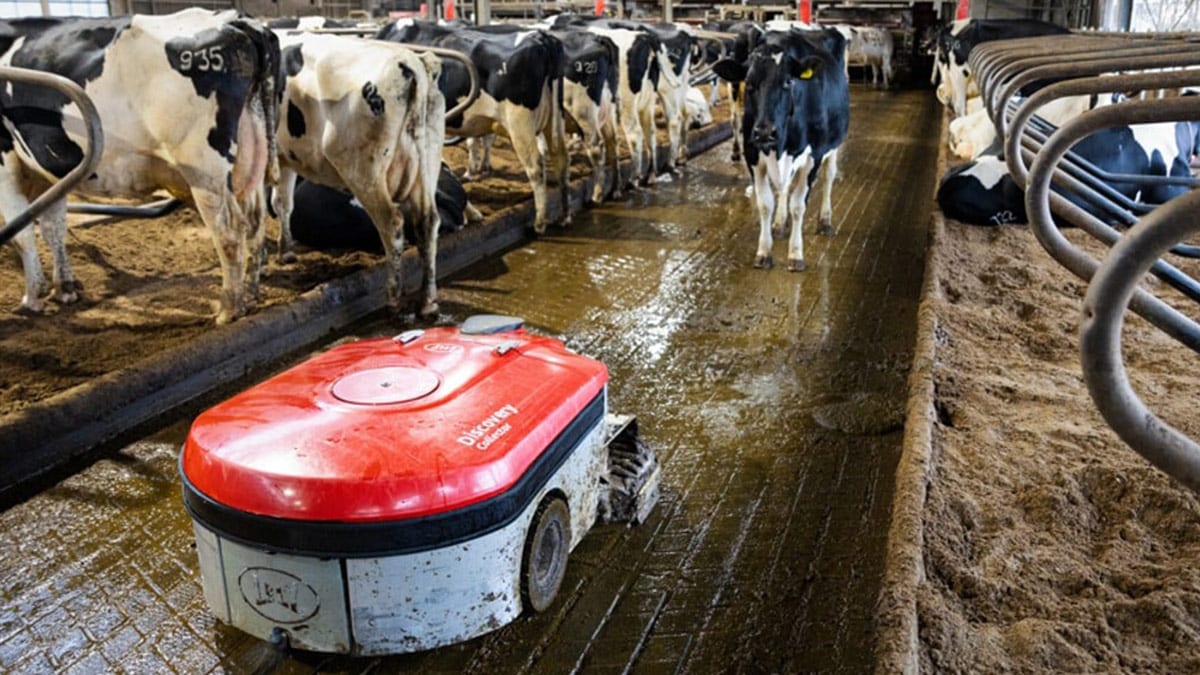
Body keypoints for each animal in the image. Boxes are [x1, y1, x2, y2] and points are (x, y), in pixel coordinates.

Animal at [0, 9, 278, 324]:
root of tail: (235, 19)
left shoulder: (5, 159)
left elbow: (22, 233)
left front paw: (32, 297)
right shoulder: (50, 172)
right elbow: (53, 227)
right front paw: (65, 289)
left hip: (204, 171)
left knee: (229, 232)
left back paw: (229, 308)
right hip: (250, 157)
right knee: (255, 224)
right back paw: (251, 295)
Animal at [272, 31, 446, 314]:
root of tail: (410, 61)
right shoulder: (284, 157)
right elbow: (283, 203)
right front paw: (285, 251)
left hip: (364, 171)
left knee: (392, 224)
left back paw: (394, 299)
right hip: (428, 162)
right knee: (428, 223)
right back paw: (428, 302)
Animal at [379, 19, 571, 234]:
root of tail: (541, 37)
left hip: (520, 123)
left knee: (535, 167)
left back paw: (539, 223)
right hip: (554, 118)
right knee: (561, 158)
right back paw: (564, 216)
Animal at [710, 28, 854, 270]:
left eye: (788, 82)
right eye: (749, 83)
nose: (765, 132)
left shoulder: (813, 156)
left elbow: (799, 205)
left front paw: (795, 254)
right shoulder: (753, 154)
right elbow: (765, 203)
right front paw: (764, 251)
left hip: (834, 144)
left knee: (829, 176)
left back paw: (825, 220)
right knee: (785, 186)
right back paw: (779, 223)